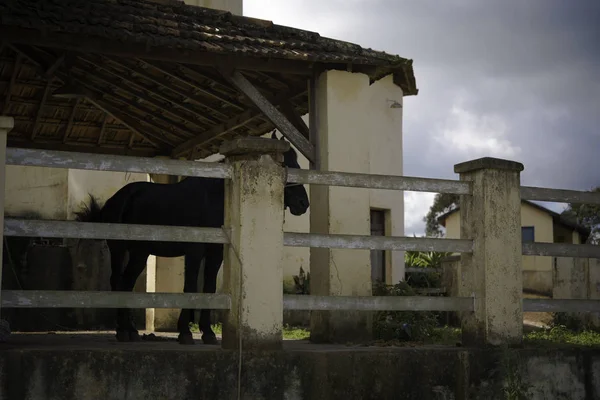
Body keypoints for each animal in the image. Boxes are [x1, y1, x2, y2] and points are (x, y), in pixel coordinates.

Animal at [76, 134, 310, 344]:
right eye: (285, 163)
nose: (303, 203)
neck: (213, 199)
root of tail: (118, 198)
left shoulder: (215, 254)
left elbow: (208, 287)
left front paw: (208, 333)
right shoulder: (195, 251)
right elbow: (189, 287)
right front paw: (185, 332)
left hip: (138, 253)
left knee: (125, 283)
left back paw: (129, 330)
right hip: (123, 250)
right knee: (120, 282)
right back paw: (125, 331)